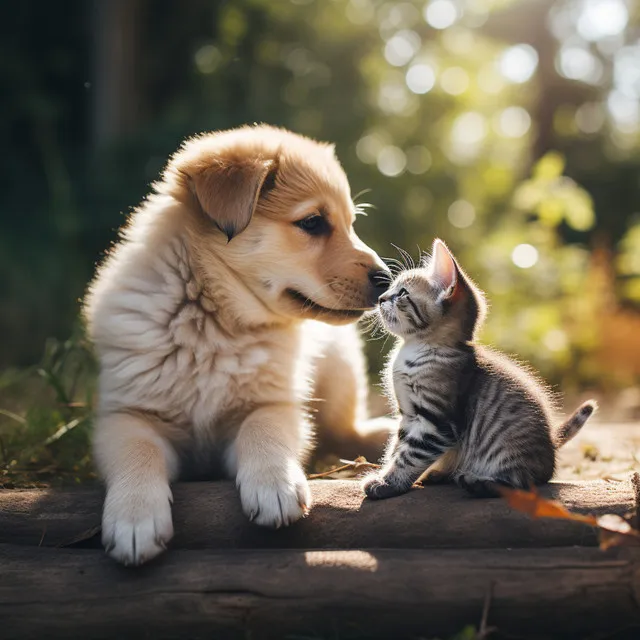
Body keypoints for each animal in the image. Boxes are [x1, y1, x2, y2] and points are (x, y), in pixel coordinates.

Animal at [85, 125, 390, 564]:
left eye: (351, 224)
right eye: (313, 222)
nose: (387, 279)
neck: (213, 321)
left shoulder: (275, 403)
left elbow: (262, 428)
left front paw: (274, 484)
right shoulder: (127, 415)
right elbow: (137, 452)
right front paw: (134, 518)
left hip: (340, 366)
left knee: (343, 429)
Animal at [362, 240, 596, 500]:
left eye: (402, 293)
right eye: (392, 289)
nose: (381, 298)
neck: (414, 350)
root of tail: (551, 447)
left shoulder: (435, 423)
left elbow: (410, 455)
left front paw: (388, 483)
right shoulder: (408, 416)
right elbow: (396, 449)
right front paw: (387, 474)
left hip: (509, 452)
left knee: (522, 482)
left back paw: (477, 481)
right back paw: (439, 473)